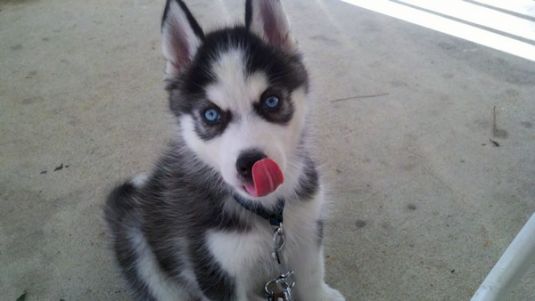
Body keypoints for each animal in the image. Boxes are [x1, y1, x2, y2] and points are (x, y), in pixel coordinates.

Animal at [104, 0, 348, 300]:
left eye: (271, 101)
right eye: (211, 115)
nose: (251, 164)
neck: (268, 215)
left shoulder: (307, 225)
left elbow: (312, 272)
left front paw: (320, 294)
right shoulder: (211, 265)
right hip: (138, 242)